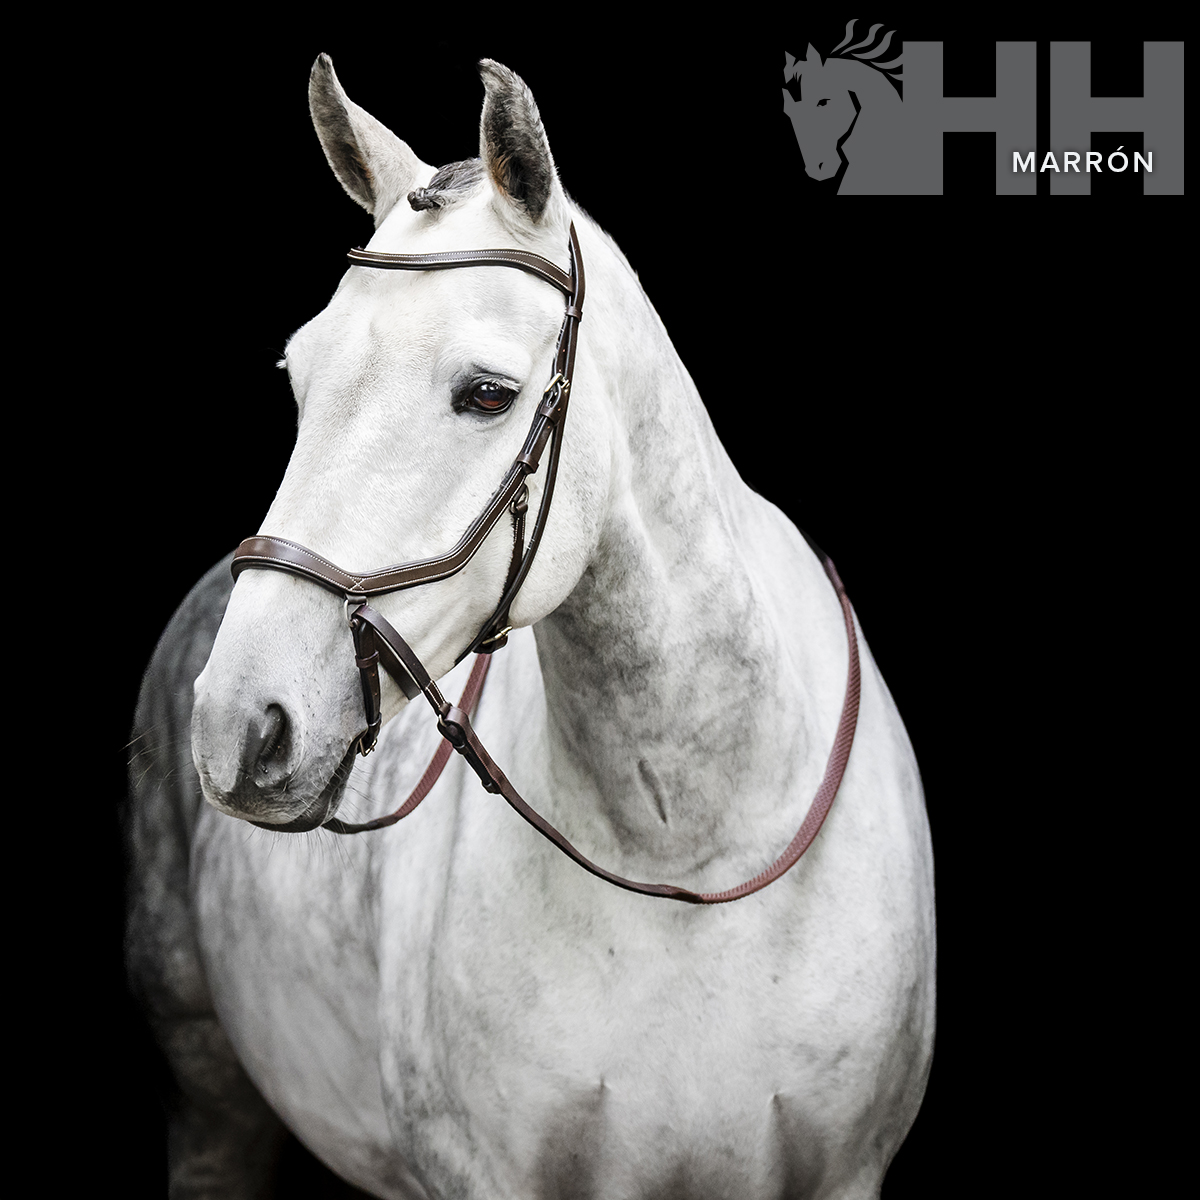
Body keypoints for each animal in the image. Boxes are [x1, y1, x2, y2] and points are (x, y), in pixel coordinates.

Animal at [125, 54, 935, 1199]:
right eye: (299, 375)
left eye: (486, 393)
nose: (240, 724)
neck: (689, 851)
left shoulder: (845, 1173)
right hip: (209, 1101)